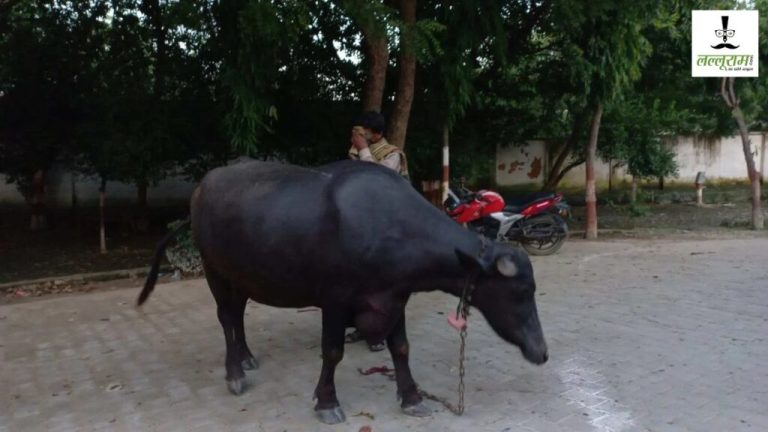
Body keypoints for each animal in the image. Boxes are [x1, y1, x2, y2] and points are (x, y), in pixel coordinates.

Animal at [138, 160, 544, 424]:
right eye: (521, 291)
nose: (541, 352)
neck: (387, 228)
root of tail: (202, 189)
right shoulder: (334, 300)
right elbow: (332, 352)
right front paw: (326, 402)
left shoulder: (394, 298)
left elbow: (400, 347)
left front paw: (412, 397)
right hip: (214, 268)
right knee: (225, 317)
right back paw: (235, 373)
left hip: (244, 276)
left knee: (237, 314)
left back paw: (248, 357)